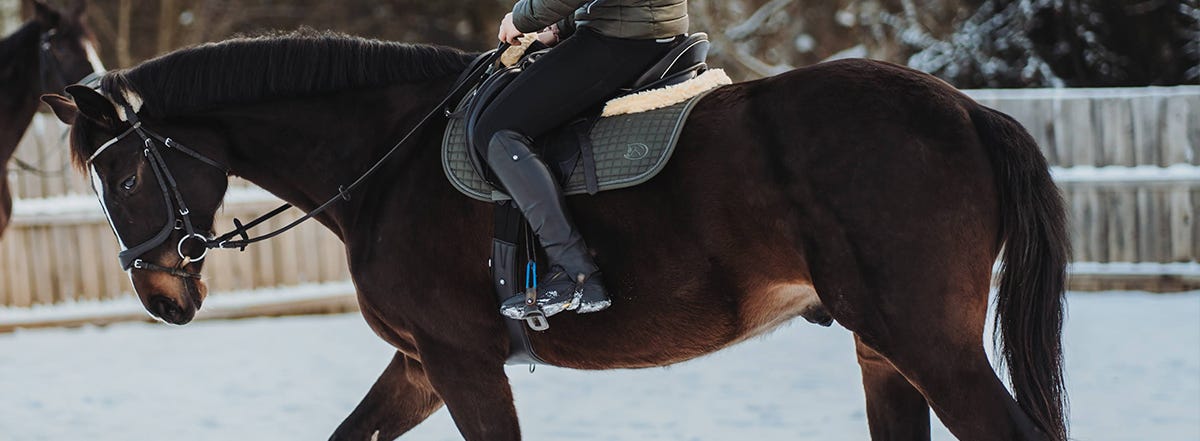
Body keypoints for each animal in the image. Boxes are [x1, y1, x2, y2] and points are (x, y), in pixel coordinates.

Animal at [39, 31, 1070, 441]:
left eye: (123, 177)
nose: (162, 297)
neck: (384, 159)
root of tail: (967, 110)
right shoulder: (419, 364)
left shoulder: (461, 362)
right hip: (884, 352)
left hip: (926, 344)